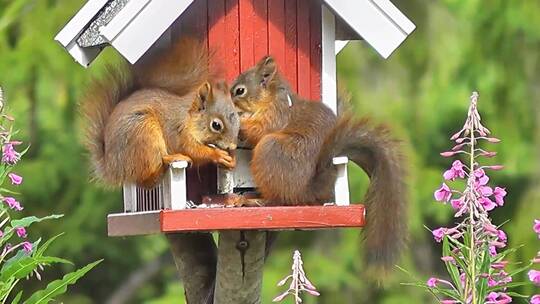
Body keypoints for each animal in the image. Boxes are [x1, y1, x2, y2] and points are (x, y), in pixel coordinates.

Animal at [81, 38, 238, 188]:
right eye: (216, 125)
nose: (232, 147)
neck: (188, 117)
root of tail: (112, 168)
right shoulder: (178, 132)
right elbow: (192, 151)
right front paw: (217, 154)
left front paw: (232, 159)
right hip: (144, 134)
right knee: (147, 179)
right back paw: (171, 158)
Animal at [230, 56, 408, 274]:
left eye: (240, 91)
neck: (271, 97)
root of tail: (306, 190)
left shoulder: (277, 113)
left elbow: (260, 129)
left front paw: (240, 122)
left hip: (270, 150)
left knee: (277, 199)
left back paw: (255, 200)